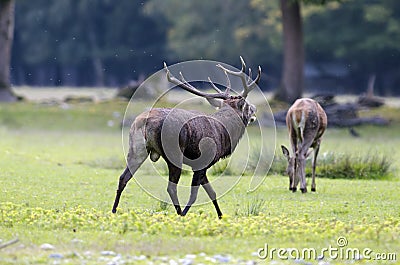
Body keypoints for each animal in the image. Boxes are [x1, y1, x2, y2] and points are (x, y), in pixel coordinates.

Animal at [112, 56, 260, 218]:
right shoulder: (202, 161)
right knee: (171, 188)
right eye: (247, 106)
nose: (254, 110)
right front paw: (185, 213)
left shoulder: (201, 166)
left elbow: (212, 192)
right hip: (173, 153)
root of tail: (144, 121)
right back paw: (179, 213)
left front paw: (221, 216)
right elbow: (195, 194)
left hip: (136, 149)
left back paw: (113, 210)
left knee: (123, 177)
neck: (224, 133)